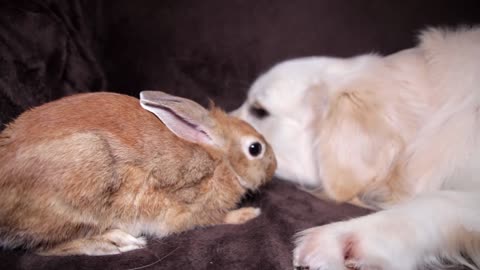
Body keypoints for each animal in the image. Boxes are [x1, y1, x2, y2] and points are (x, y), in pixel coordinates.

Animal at [0, 90, 276, 255]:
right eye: (255, 148)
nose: (274, 168)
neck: (221, 160)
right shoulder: (194, 208)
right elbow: (216, 219)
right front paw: (248, 214)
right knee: (45, 248)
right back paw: (115, 242)